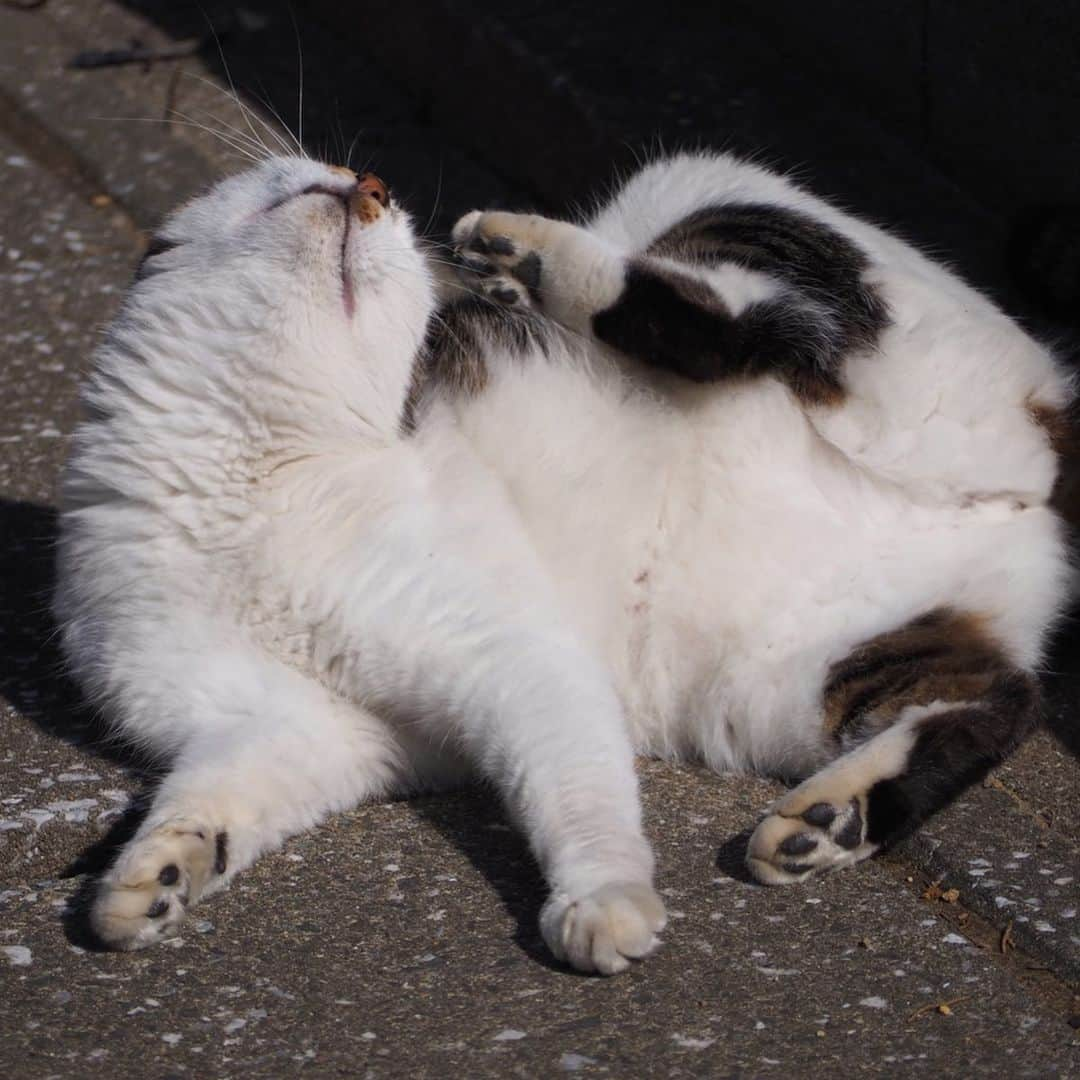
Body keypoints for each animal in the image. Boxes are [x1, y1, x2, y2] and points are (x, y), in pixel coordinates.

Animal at [54, 147, 1075, 976]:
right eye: (310, 185)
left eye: (391, 226)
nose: (372, 185)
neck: (243, 475)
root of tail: (1037, 481)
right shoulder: (289, 723)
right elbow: (212, 794)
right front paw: (160, 872)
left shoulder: (511, 654)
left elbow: (576, 791)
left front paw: (604, 900)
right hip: (788, 681)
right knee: (998, 701)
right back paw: (831, 819)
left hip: (718, 212)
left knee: (769, 328)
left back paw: (529, 256)